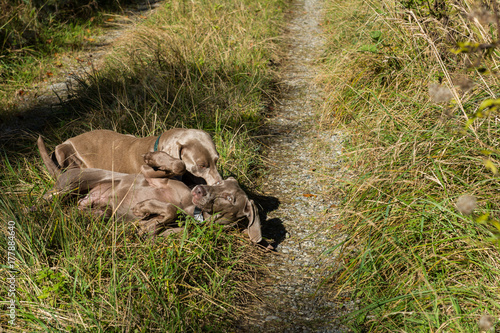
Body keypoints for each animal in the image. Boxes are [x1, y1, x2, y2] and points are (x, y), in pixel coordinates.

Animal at [36, 136, 262, 243]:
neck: (191, 208)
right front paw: (154, 158)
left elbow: (163, 219)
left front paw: (147, 215)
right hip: (73, 184)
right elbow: (177, 166)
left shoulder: (164, 236)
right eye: (218, 185)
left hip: (93, 209)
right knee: (46, 199)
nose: (199, 189)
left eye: (230, 198)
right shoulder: (150, 175)